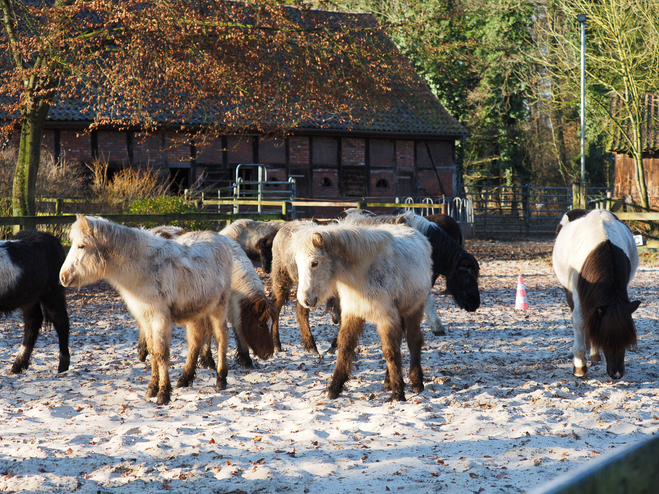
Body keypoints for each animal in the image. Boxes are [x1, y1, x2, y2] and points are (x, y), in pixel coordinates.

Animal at [0, 232, 70, 374]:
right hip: (30, 298)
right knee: (33, 321)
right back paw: (18, 365)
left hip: (52, 293)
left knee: (60, 321)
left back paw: (62, 366)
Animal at [60, 217, 235, 406]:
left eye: (81, 246)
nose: (63, 277)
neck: (144, 268)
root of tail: (222, 240)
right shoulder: (146, 318)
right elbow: (152, 352)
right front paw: (152, 389)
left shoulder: (160, 318)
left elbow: (161, 353)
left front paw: (163, 394)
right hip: (194, 311)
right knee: (195, 340)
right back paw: (184, 379)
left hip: (219, 306)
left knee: (221, 336)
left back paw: (221, 379)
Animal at [294, 222, 434, 400]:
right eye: (297, 264)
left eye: (314, 263)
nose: (305, 300)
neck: (362, 274)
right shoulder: (352, 313)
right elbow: (345, 347)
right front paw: (334, 388)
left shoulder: (386, 318)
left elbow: (389, 351)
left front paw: (398, 394)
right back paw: (388, 381)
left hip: (413, 310)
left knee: (413, 341)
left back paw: (416, 383)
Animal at [556, 208, 640, 378]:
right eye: (606, 341)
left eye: (626, 341)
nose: (617, 374)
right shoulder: (577, 292)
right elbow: (580, 320)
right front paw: (579, 366)